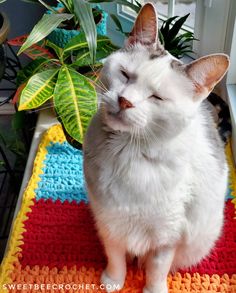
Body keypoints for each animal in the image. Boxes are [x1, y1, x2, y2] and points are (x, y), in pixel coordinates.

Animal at [83, 3, 229, 290]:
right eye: (125, 74)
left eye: (157, 97)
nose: (125, 101)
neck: (128, 154)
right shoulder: (109, 221)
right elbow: (114, 255)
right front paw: (113, 281)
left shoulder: (167, 236)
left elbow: (156, 269)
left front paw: (153, 289)